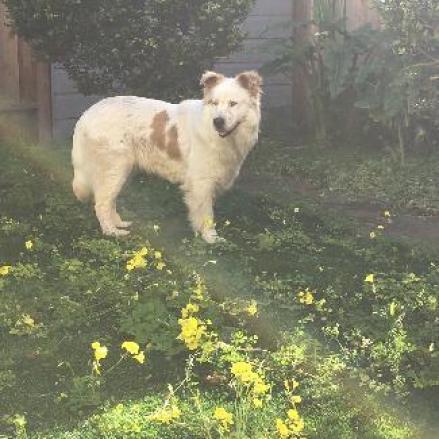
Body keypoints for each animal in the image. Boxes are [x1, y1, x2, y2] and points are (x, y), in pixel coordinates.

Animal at [72, 72, 262, 244]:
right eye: (214, 103)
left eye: (233, 104)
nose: (218, 121)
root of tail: (87, 114)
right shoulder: (201, 184)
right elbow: (207, 215)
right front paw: (210, 238)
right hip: (115, 169)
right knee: (101, 204)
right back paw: (112, 232)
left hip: (123, 172)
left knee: (109, 200)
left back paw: (119, 223)